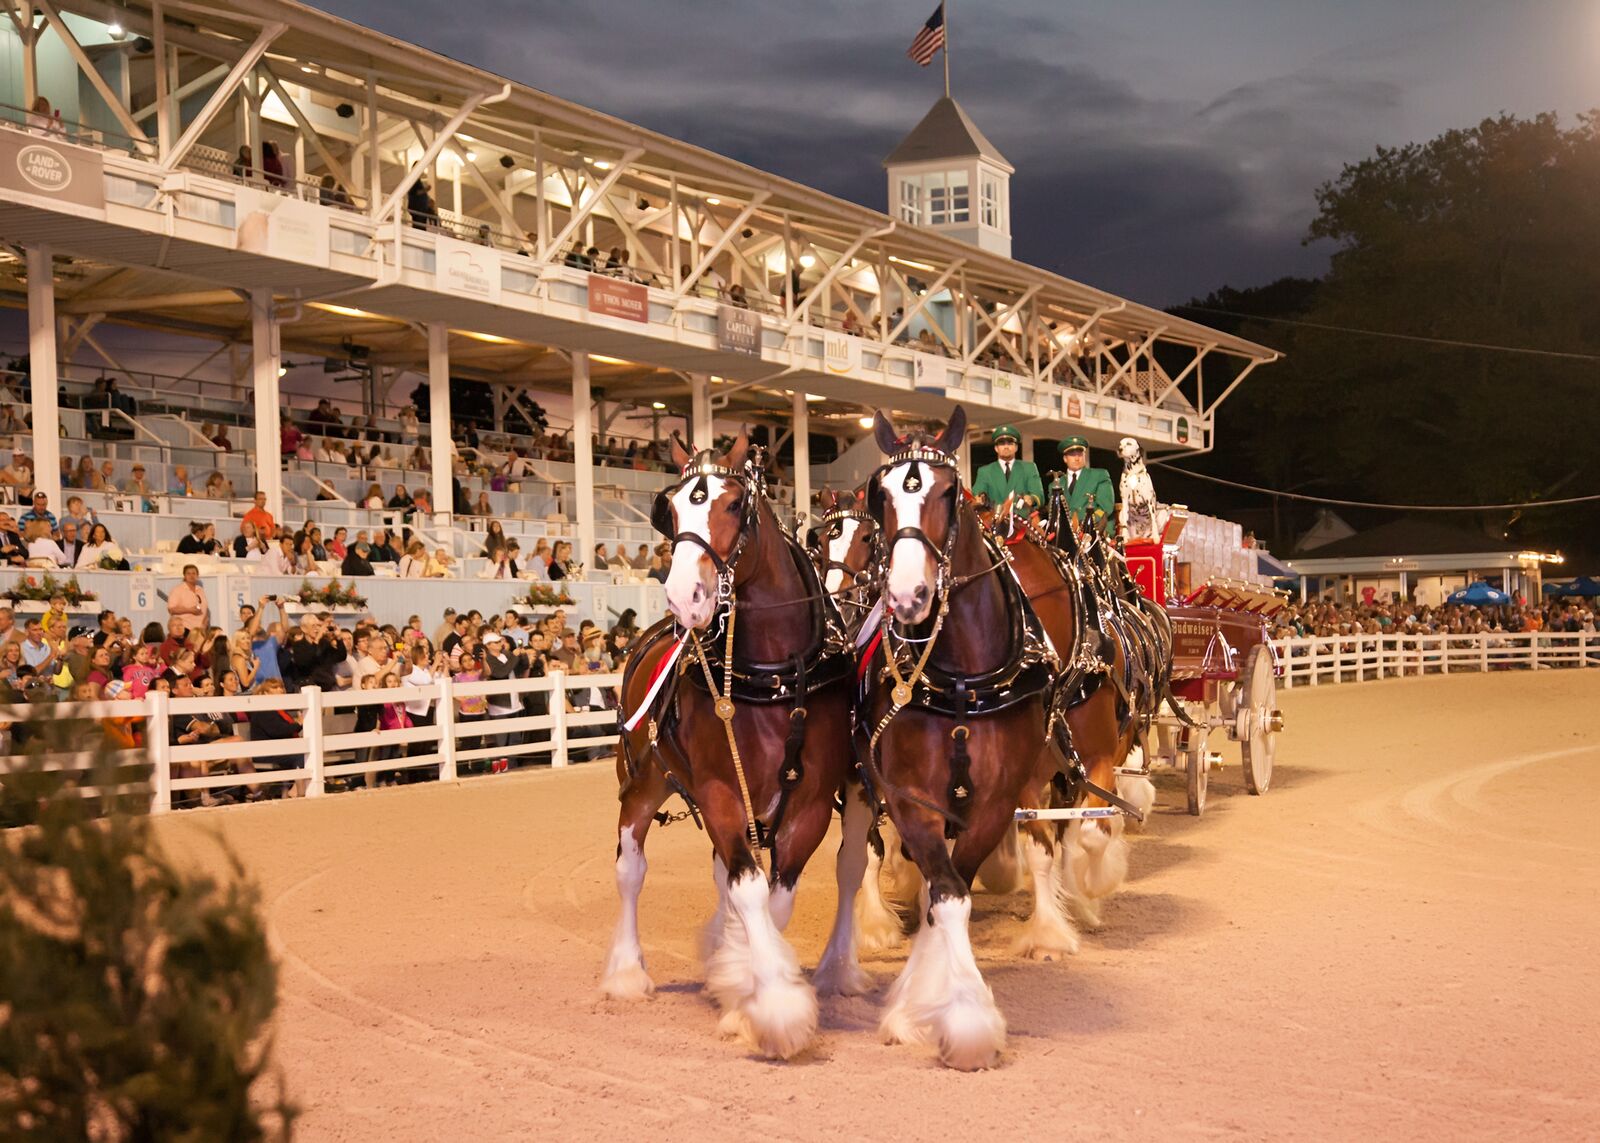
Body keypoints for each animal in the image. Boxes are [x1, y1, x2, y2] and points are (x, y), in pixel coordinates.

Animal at [601, 429, 864, 1056]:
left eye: (733, 504)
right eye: (669, 509)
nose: (684, 598)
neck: (773, 673)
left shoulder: (810, 805)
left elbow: (776, 899)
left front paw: (744, 983)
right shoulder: (722, 790)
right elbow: (748, 891)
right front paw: (771, 1008)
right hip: (643, 781)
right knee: (631, 868)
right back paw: (625, 972)